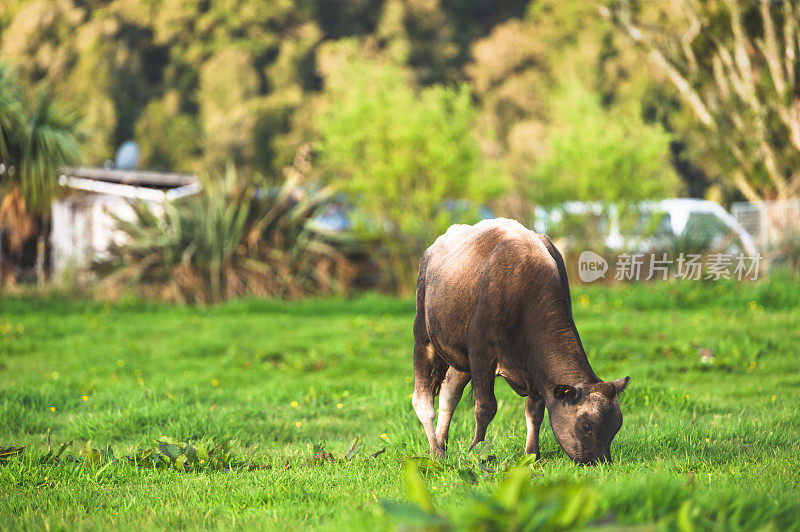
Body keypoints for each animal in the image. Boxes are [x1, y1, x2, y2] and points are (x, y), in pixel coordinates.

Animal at [412, 218, 632, 464]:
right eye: (586, 426)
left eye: (617, 425)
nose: (601, 462)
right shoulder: (481, 355)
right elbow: (485, 407)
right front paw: (477, 452)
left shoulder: (535, 369)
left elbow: (535, 411)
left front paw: (531, 454)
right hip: (423, 336)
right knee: (422, 400)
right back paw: (435, 450)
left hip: (459, 357)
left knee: (449, 395)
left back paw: (442, 445)